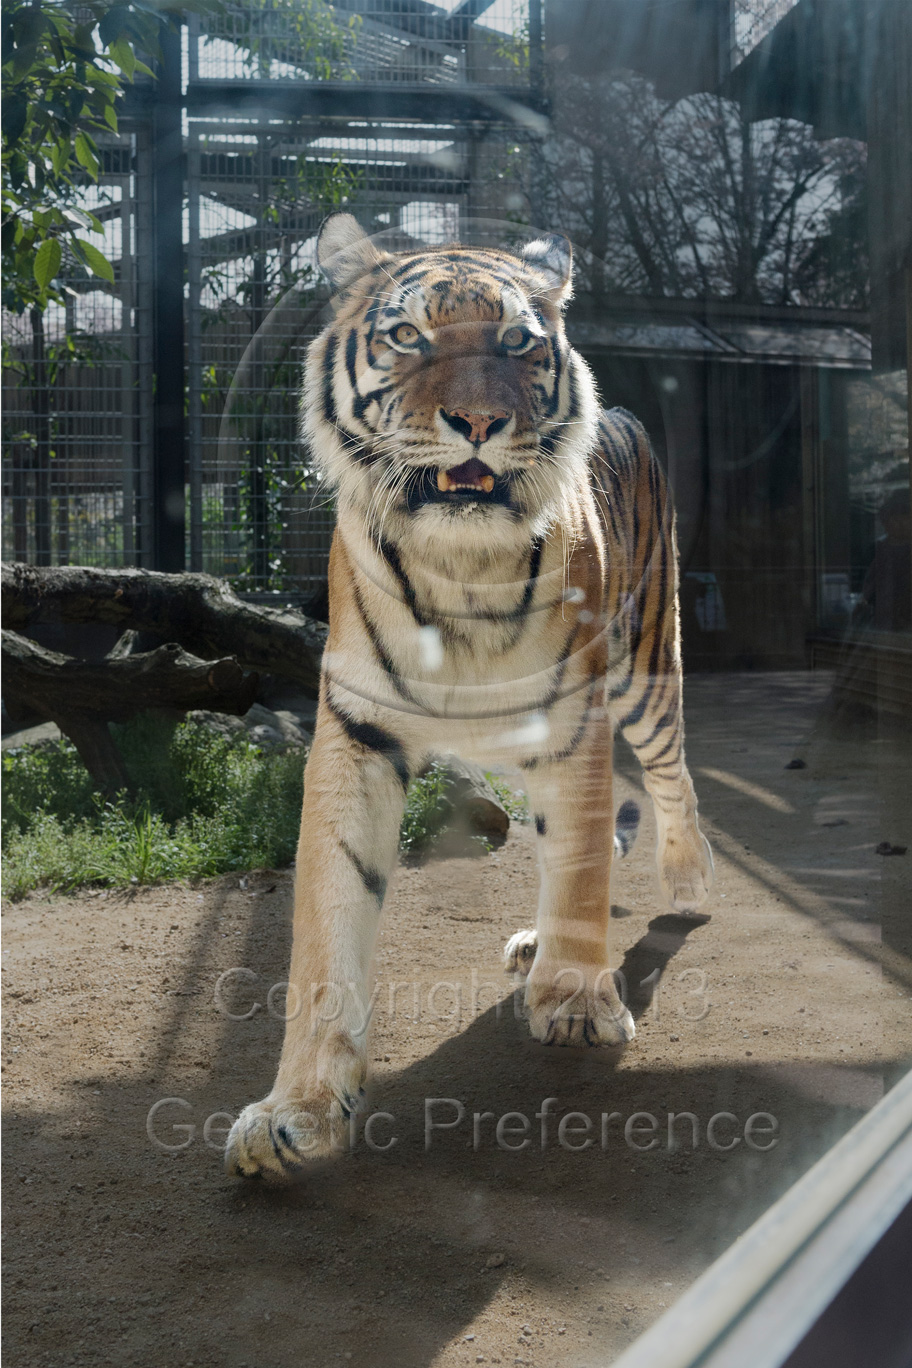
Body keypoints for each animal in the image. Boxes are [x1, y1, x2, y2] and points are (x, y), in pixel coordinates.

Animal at [226, 210, 711, 1176]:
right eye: (407, 336)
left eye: (518, 342)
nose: (480, 421)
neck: (462, 566)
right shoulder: (357, 733)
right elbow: (328, 918)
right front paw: (298, 1107)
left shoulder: (576, 720)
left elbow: (582, 866)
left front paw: (577, 1004)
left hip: (647, 669)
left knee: (671, 775)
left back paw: (683, 880)